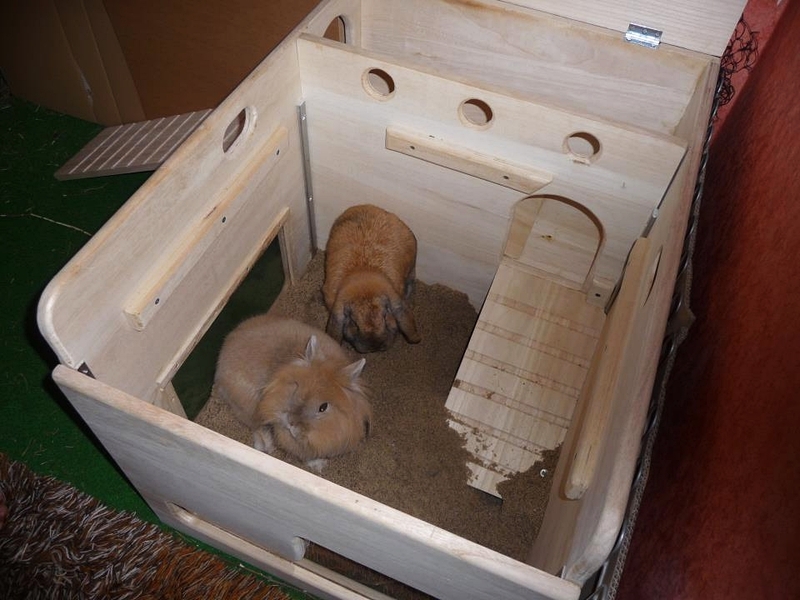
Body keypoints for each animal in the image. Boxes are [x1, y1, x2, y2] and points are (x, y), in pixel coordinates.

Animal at [214, 312, 374, 472]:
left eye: (323, 408)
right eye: (297, 387)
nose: (291, 422)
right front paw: (319, 465)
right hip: (249, 406)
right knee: (256, 426)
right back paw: (266, 446)